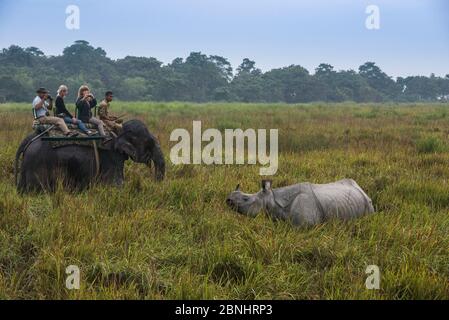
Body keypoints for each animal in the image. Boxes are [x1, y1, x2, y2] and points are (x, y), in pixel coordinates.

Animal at [15, 119, 167, 191]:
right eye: (149, 142)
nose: (154, 182)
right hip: (37, 164)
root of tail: (30, 138)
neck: (117, 130)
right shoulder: (111, 156)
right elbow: (115, 184)